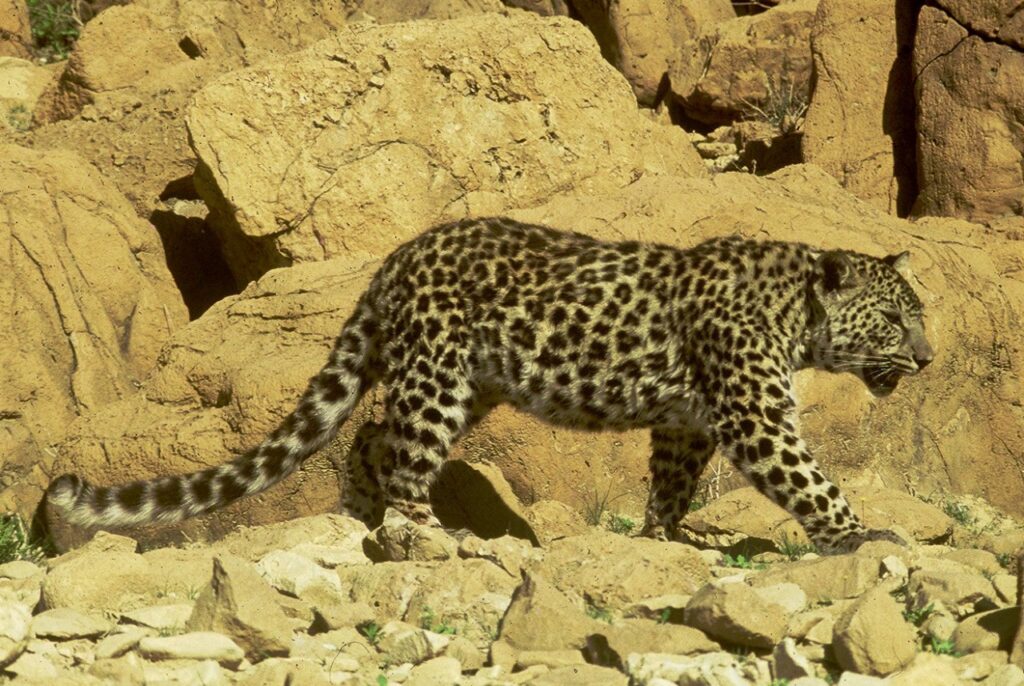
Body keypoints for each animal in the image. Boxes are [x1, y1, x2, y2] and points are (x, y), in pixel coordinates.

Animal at [46, 216, 934, 554]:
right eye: (896, 320)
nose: (927, 360)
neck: (796, 314)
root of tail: (395, 258)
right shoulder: (756, 416)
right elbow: (809, 479)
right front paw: (863, 536)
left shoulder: (688, 422)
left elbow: (673, 483)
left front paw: (664, 538)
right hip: (439, 377)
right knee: (404, 452)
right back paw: (425, 534)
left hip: (469, 385)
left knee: (372, 435)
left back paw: (368, 514)